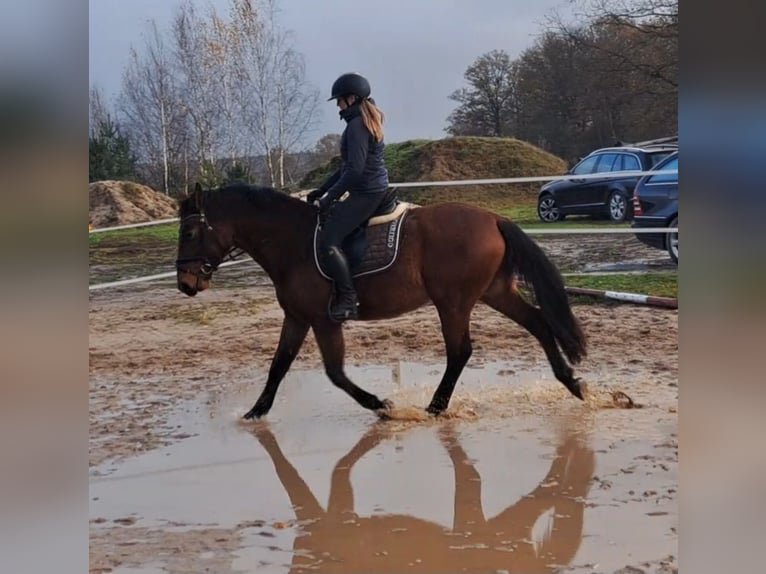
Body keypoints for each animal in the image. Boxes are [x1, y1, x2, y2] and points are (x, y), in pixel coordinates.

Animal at [177, 182, 592, 420]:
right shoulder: (296, 317)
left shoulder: (324, 319)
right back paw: (572, 383)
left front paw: (381, 405)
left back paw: (435, 407)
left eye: (191, 231)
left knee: (460, 351)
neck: (292, 241)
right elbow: (278, 365)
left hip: (453, 302)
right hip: (496, 291)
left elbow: (335, 372)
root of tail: (492, 218)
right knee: (538, 323)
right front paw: (255, 412)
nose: (185, 283)